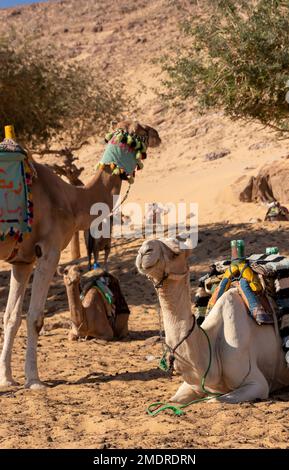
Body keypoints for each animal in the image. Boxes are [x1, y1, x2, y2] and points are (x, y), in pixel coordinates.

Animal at [0, 121, 160, 390]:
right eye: (143, 130)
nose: (158, 134)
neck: (72, 199)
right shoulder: (49, 251)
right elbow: (35, 318)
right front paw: (34, 380)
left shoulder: (22, 260)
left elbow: (11, 318)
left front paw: (7, 379)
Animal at [136, 239, 288, 404]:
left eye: (177, 251)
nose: (144, 251)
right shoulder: (190, 386)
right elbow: (170, 402)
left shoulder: (257, 384)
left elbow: (215, 400)